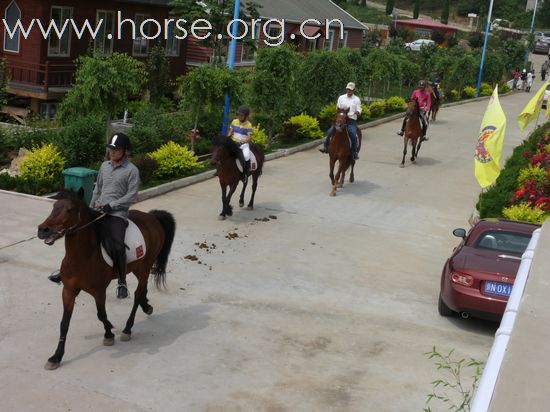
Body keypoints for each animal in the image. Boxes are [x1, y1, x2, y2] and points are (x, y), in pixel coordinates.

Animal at [37, 189, 175, 370]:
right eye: (54, 207)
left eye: (70, 209)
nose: (43, 230)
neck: (83, 256)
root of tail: (152, 217)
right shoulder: (68, 290)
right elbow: (64, 323)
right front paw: (56, 357)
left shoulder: (99, 291)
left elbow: (101, 314)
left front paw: (109, 333)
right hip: (137, 268)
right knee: (142, 289)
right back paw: (147, 307)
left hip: (146, 265)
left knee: (137, 294)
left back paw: (127, 329)